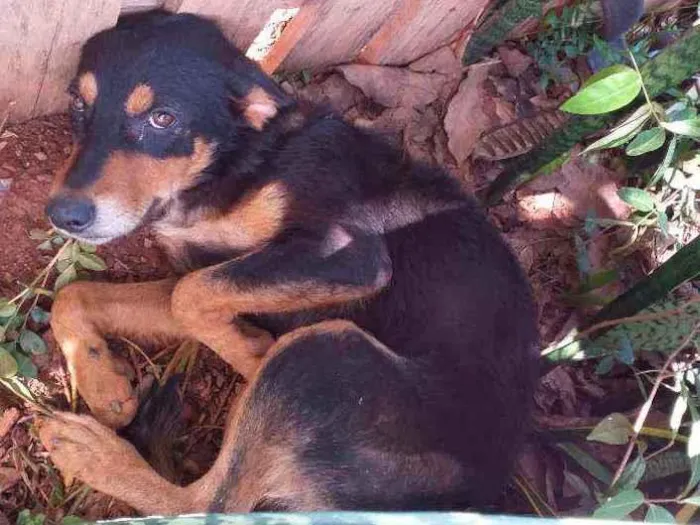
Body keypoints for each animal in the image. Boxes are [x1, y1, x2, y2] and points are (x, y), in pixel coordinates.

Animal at [38, 11, 540, 516]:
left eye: (163, 118)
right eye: (79, 105)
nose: (63, 214)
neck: (242, 159)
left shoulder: (349, 254)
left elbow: (191, 295)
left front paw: (246, 351)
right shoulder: (214, 267)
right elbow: (79, 294)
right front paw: (100, 380)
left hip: (318, 353)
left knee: (208, 504)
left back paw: (90, 452)